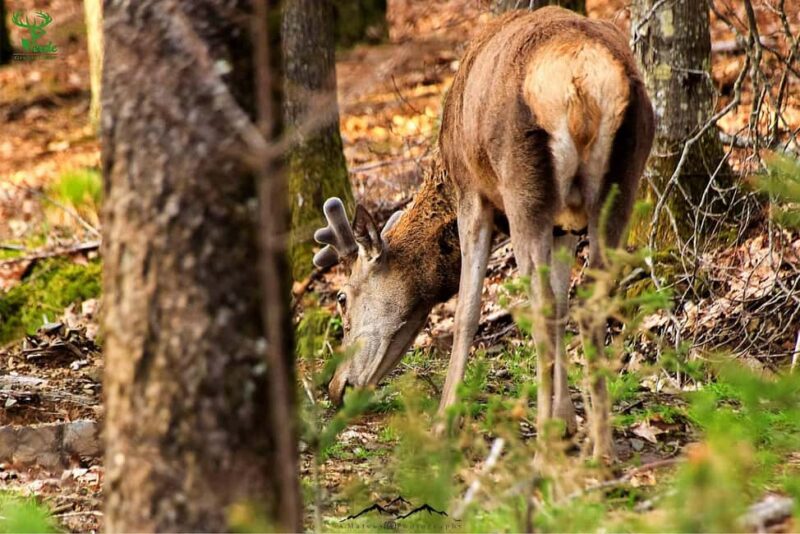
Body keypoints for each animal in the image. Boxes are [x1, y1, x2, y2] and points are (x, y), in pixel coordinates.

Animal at [313, 7, 654, 461]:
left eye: (343, 298)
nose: (336, 388)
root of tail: (581, 81)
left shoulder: (472, 194)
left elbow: (466, 311)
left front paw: (445, 421)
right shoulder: (564, 223)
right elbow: (563, 304)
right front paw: (567, 421)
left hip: (524, 185)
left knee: (540, 307)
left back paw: (543, 445)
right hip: (624, 177)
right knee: (587, 302)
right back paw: (600, 451)